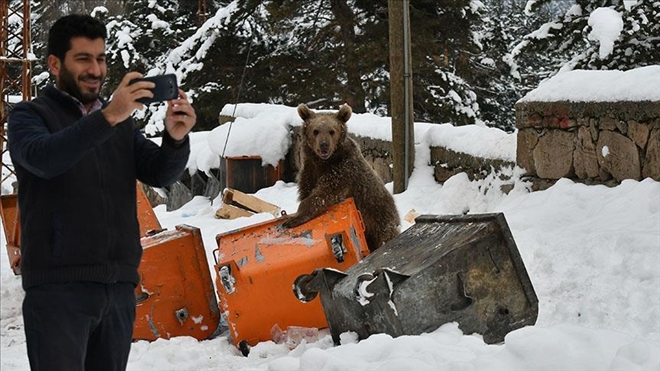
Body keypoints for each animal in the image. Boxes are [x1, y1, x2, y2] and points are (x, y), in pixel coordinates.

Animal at [282, 103, 400, 251]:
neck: (323, 162)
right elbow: (307, 192)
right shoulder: (309, 171)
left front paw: (292, 220)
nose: (324, 145)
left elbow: (323, 194)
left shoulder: (343, 170)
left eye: (332, 131)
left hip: (378, 217)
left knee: (384, 236)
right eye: (316, 131)